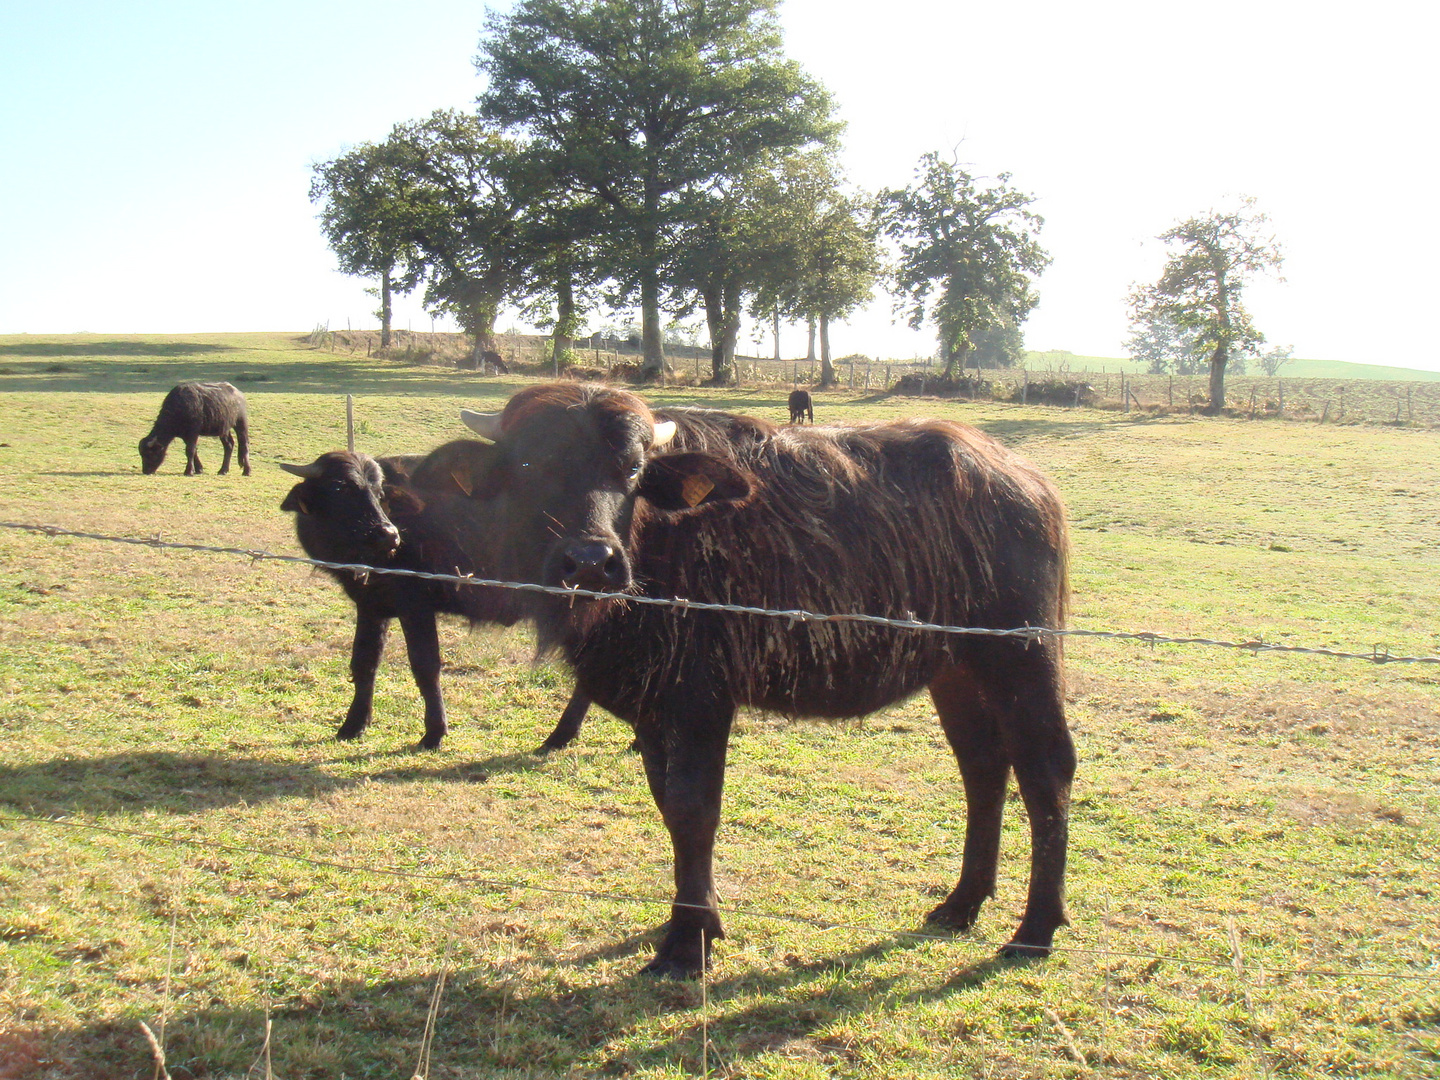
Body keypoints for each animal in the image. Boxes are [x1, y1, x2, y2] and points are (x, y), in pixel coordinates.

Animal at [426, 388, 1071, 979]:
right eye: (528, 467)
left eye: (631, 468)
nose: (590, 562)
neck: (655, 548)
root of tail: (1026, 482)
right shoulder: (652, 709)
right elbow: (668, 805)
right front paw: (699, 915)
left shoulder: (701, 702)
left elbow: (695, 809)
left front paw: (687, 942)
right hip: (956, 669)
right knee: (983, 766)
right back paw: (963, 903)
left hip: (1022, 655)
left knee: (1047, 769)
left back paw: (1034, 930)